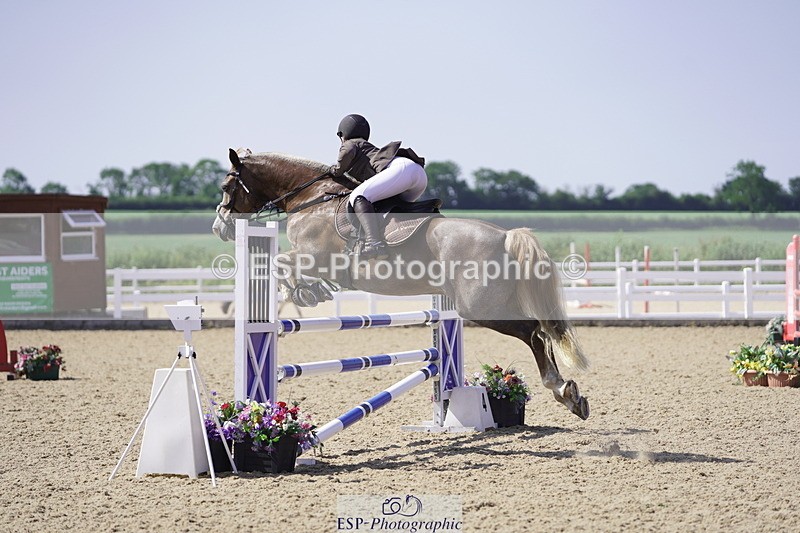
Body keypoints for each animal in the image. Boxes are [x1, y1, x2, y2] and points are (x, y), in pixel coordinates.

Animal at [212, 148, 590, 420]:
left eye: (227, 187)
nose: (221, 227)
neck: (311, 199)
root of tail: (506, 235)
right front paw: (309, 291)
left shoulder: (313, 256)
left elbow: (281, 264)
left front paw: (304, 292)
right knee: (539, 331)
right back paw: (570, 395)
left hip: (481, 308)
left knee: (534, 333)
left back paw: (564, 392)